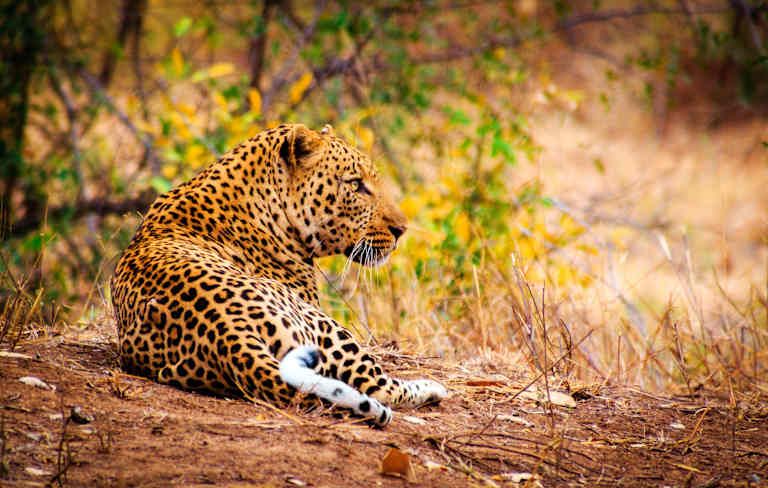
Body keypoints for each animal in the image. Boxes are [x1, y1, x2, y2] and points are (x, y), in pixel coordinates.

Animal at [111, 123, 447, 426]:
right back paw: (432, 388)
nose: (401, 229)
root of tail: (229, 336)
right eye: (355, 184)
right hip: (325, 326)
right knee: (380, 388)